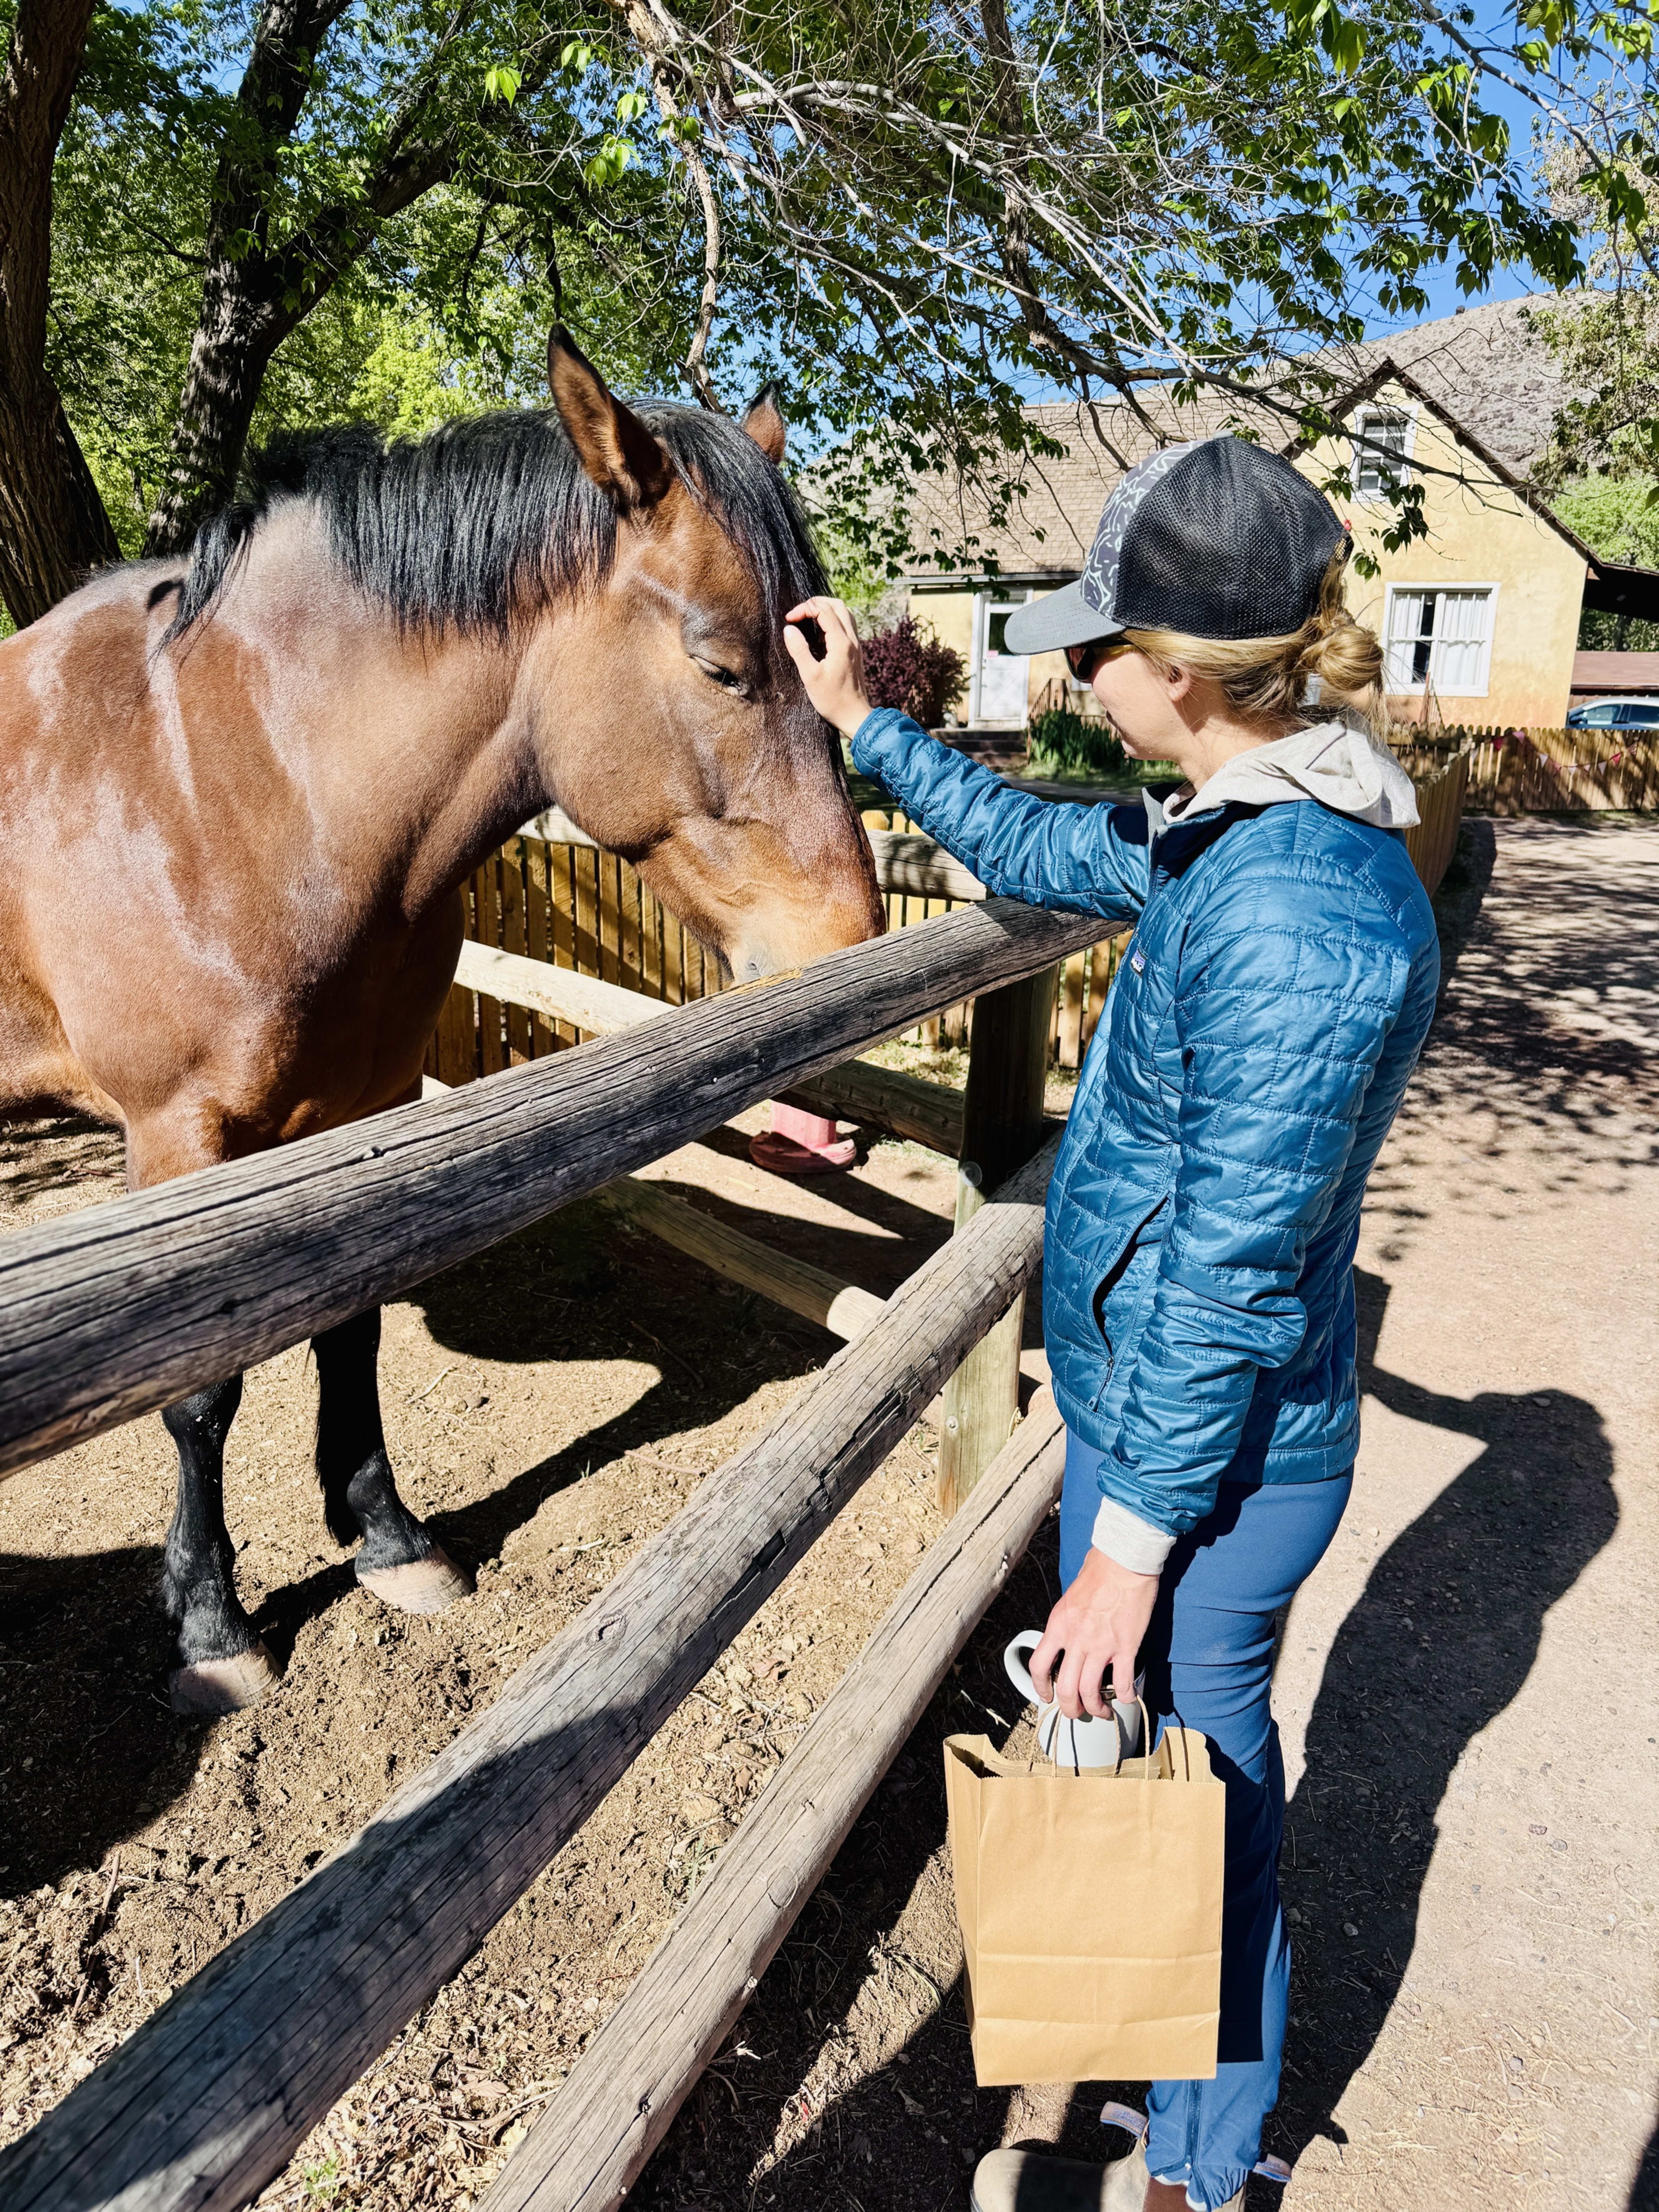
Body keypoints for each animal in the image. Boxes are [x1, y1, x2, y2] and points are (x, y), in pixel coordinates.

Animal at [0, 327, 885, 1714]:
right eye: (719, 664)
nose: (848, 945)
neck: (234, 782)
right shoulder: (178, 1143)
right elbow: (201, 1393)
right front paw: (210, 1624)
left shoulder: (360, 1109)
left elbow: (351, 1330)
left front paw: (385, 1538)